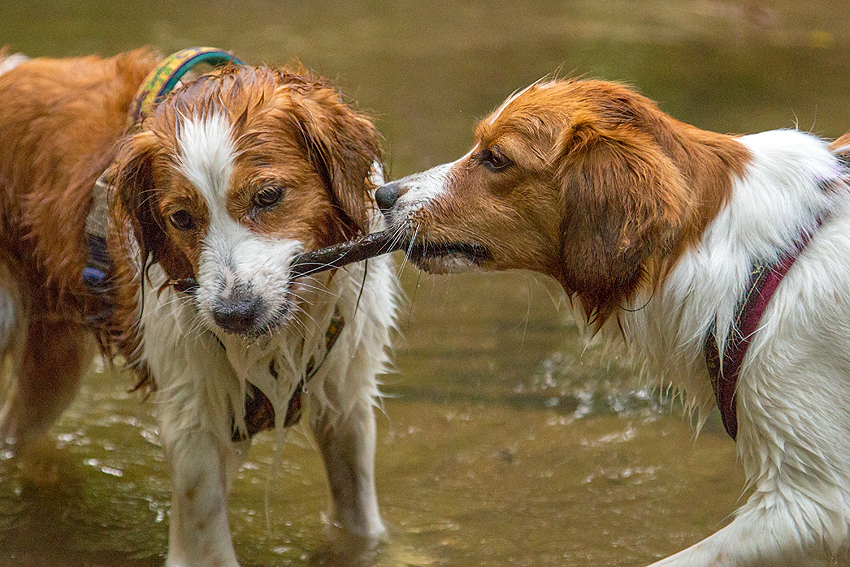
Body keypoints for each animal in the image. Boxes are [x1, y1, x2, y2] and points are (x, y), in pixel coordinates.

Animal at [0, 48, 398, 567]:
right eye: (181, 218)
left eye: (268, 196)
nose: (234, 313)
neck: (276, 340)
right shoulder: (193, 420)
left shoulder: (346, 400)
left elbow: (358, 525)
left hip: (55, 367)